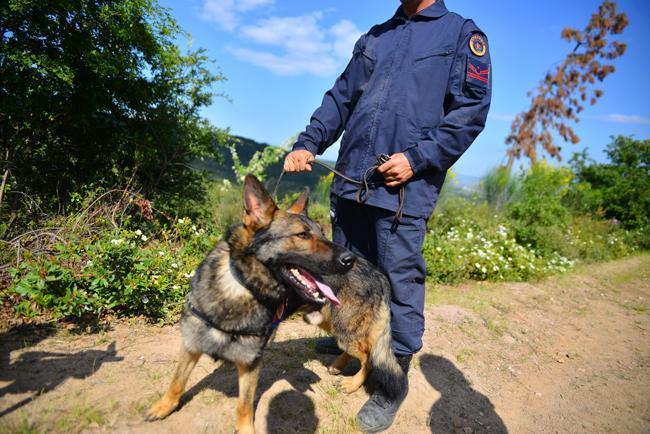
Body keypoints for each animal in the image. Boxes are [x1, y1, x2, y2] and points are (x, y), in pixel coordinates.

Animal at [146, 175, 404, 432]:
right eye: (302, 235)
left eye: (323, 233)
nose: (349, 259)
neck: (240, 287)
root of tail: (378, 272)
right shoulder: (191, 345)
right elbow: (176, 382)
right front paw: (163, 407)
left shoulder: (249, 364)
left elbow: (244, 406)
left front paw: (246, 430)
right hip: (328, 323)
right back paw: (338, 365)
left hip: (346, 331)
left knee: (369, 357)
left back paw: (353, 383)